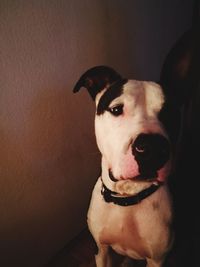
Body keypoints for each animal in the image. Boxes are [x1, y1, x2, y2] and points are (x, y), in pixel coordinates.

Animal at [72, 19, 198, 266]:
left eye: (170, 114)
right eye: (116, 109)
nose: (152, 149)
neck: (128, 197)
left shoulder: (157, 260)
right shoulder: (101, 250)